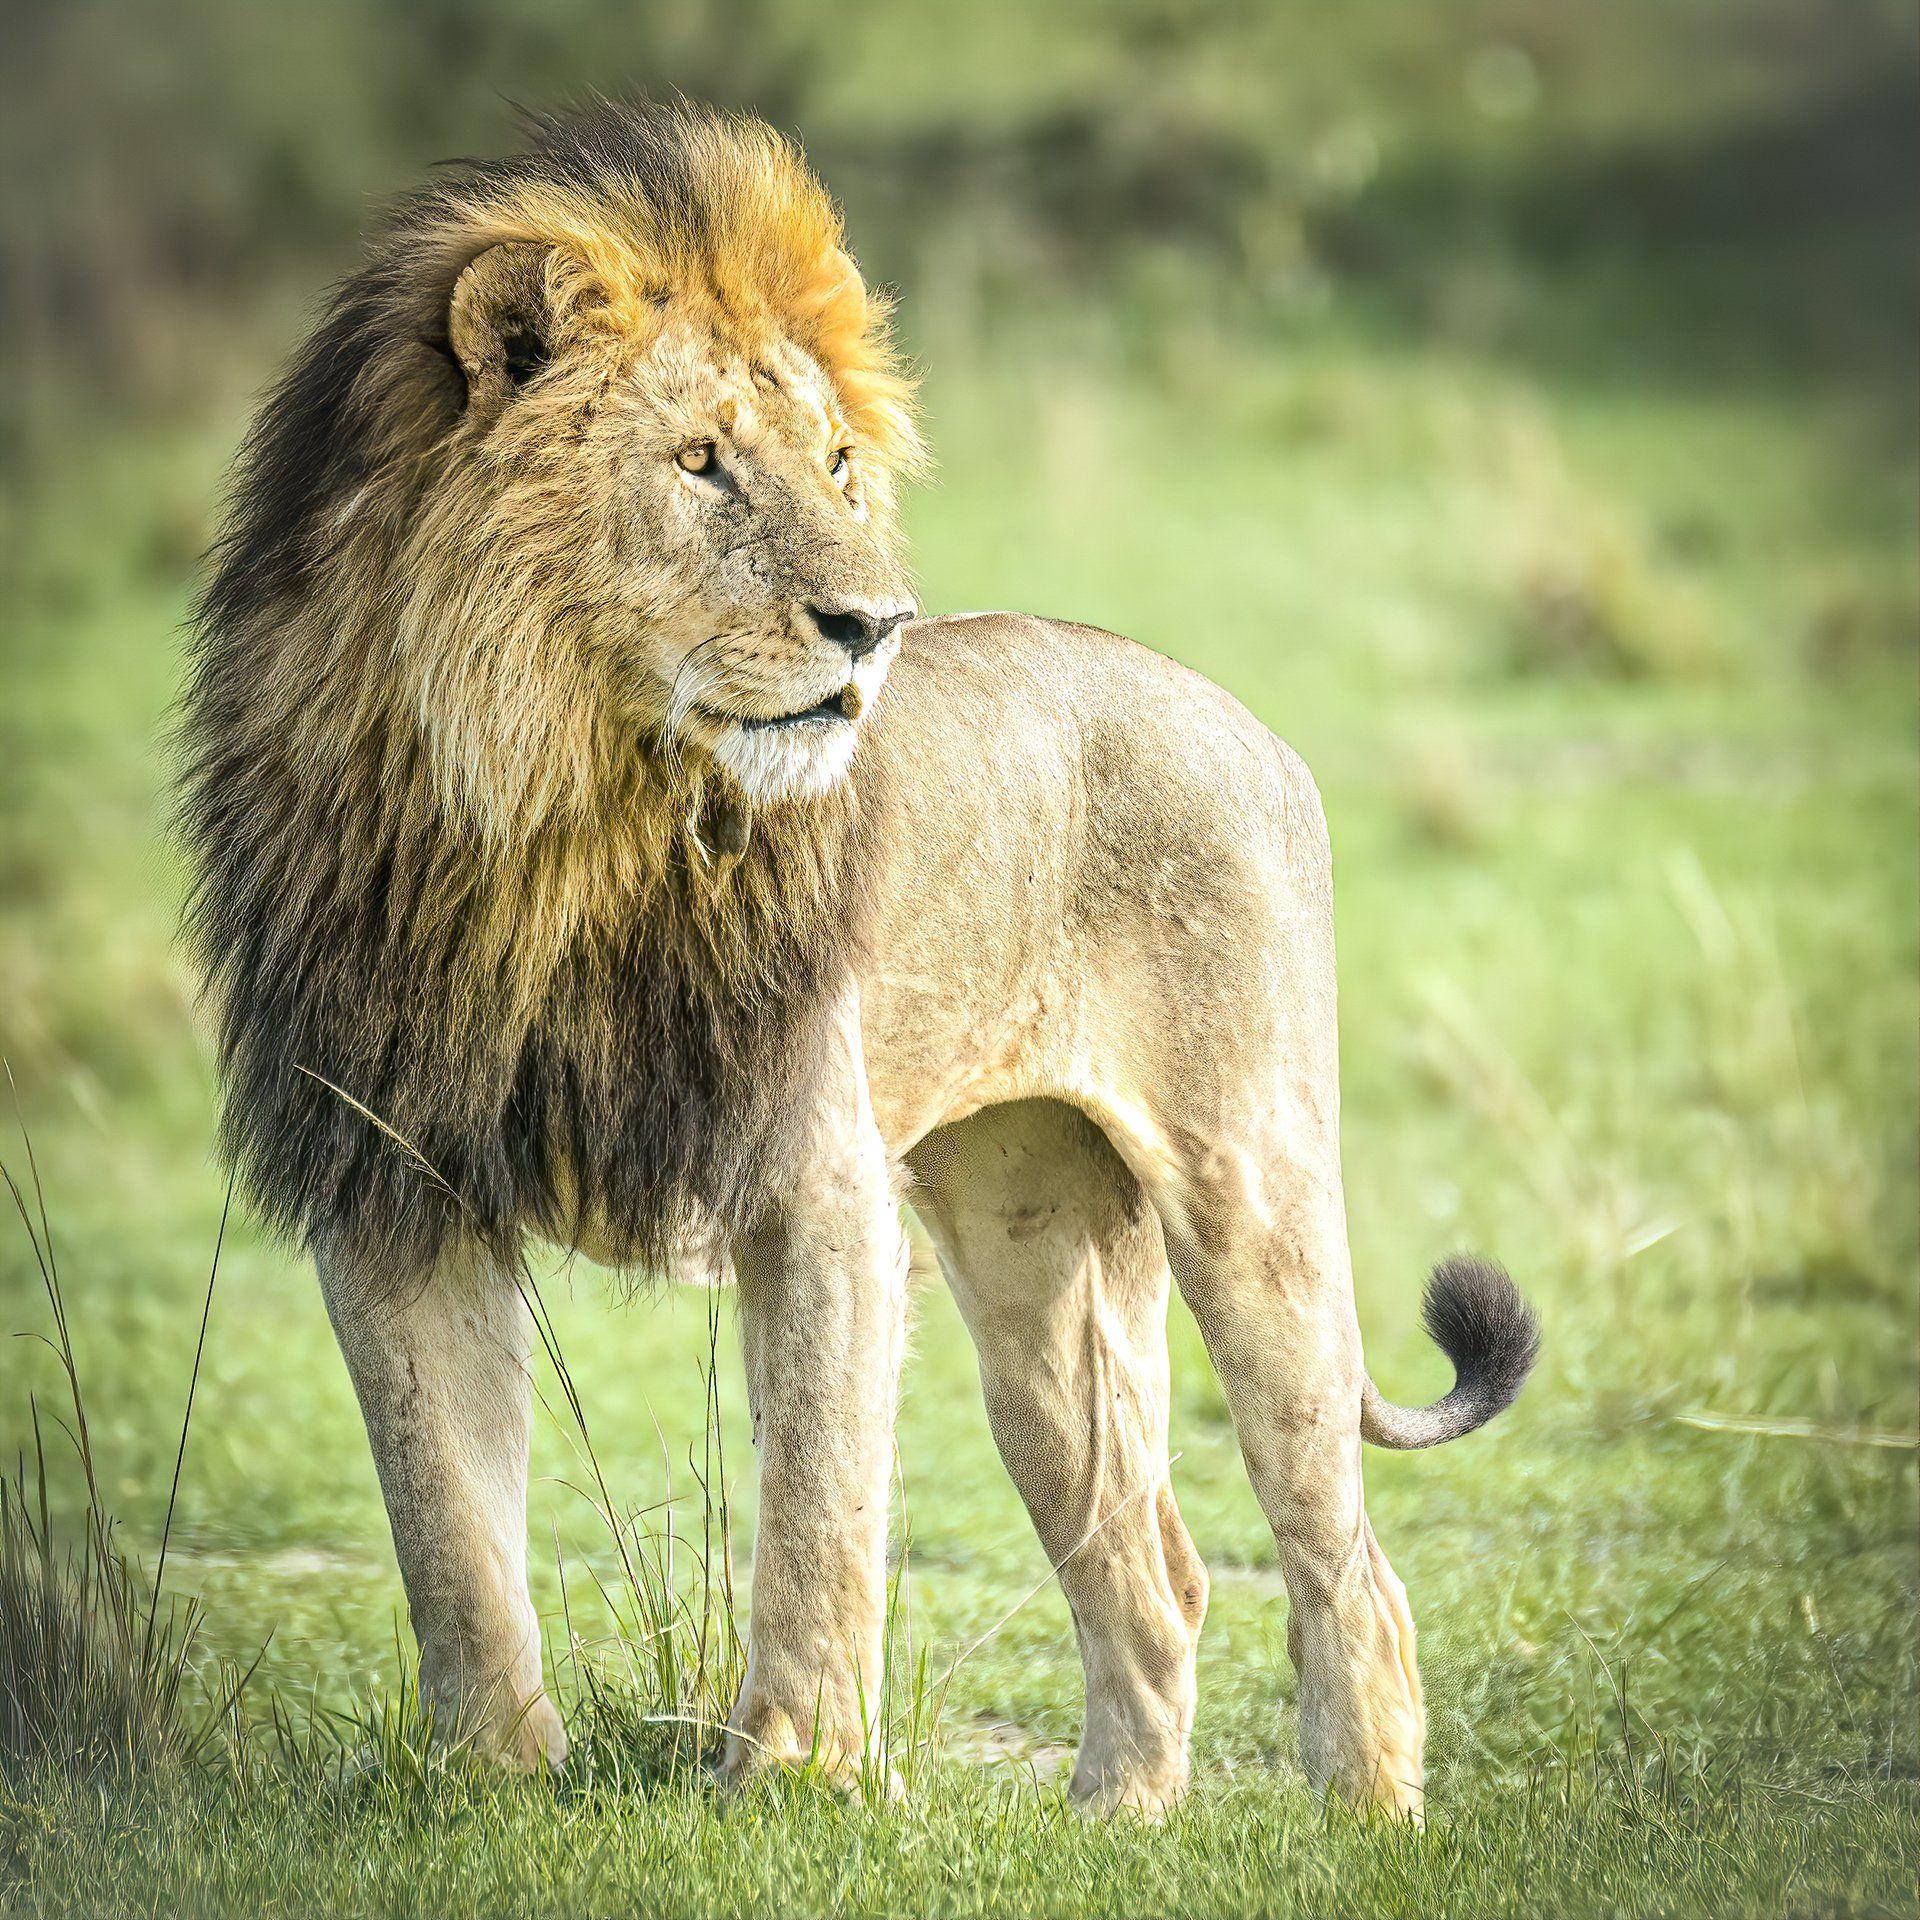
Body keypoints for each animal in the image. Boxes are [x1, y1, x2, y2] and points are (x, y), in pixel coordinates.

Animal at [179, 100, 1537, 1820]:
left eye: (835, 464)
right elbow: (449, 1537)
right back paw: (1114, 1826)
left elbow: (818, 1515)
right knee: (1150, 1564)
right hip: (1034, 1255)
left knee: (1346, 1564)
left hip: (1253, 1191)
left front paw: (795, 1780)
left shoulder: (812, 1182)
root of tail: (1249, 720)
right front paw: (485, 1786)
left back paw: (1364, 1819)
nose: (874, 624)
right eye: (700, 464)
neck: (549, 820)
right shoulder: (394, 1185)